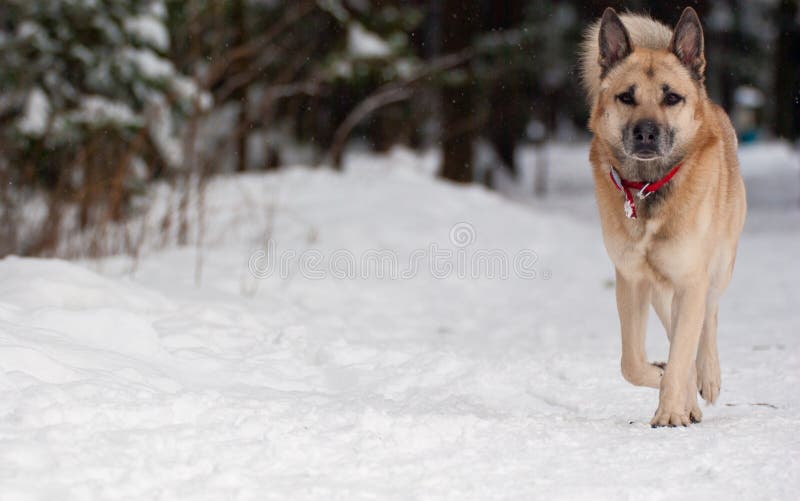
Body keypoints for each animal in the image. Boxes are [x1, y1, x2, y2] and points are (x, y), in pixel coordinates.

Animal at [580, 7, 748, 426]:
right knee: (676, 333)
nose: (645, 133)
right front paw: (670, 386)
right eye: (626, 97)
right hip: (659, 289)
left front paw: (671, 411)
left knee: (709, 319)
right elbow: (633, 362)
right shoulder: (632, 280)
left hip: (718, 268)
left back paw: (707, 378)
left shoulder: (691, 278)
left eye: (671, 97)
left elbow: (686, 346)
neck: (648, 188)